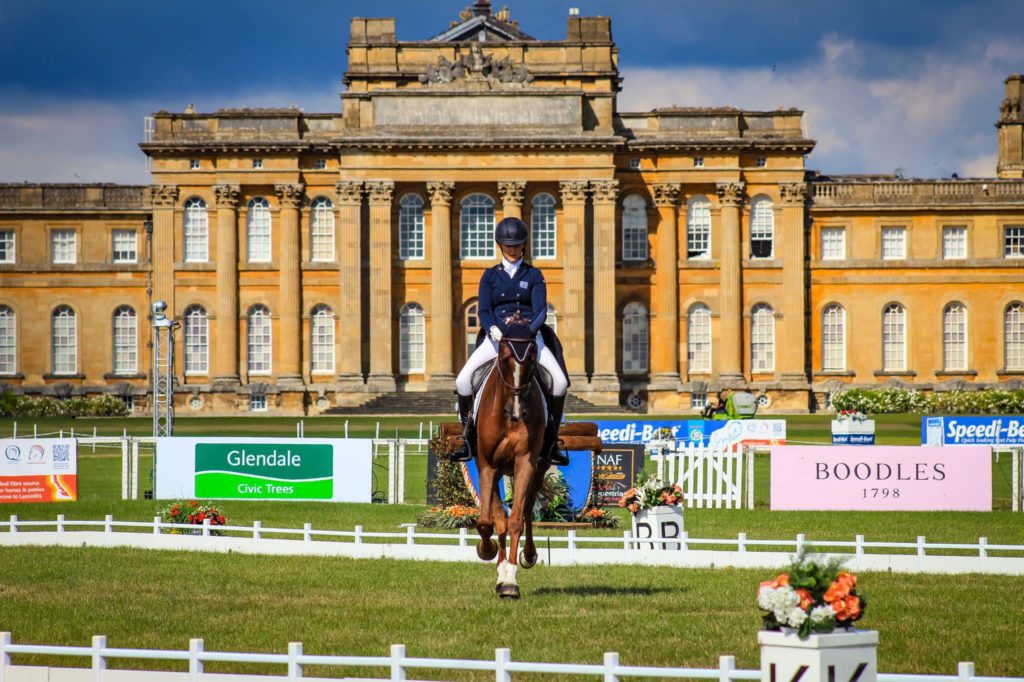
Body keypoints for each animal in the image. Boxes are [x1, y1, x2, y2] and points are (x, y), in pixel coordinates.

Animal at [475, 315, 548, 598]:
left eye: (532, 357)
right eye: (505, 357)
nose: (517, 412)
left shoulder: (525, 462)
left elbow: (516, 519)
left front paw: (511, 581)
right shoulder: (486, 466)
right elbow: (488, 521)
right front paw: (488, 551)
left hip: (538, 468)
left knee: (526, 510)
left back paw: (526, 556)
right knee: (499, 518)